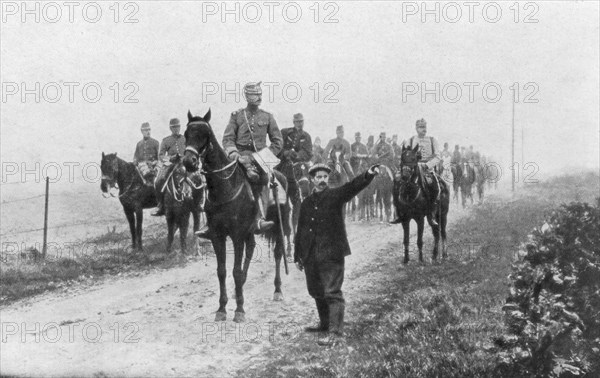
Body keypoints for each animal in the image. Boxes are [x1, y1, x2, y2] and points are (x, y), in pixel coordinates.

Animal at [182, 109, 290, 322]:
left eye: (205, 135)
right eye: (186, 134)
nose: (188, 162)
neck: (225, 187)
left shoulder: (237, 235)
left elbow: (236, 271)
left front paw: (239, 310)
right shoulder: (217, 235)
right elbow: (222, 271)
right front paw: (222, 308)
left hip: (279, 227)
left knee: (277, 253)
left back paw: (278, 291)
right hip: (251, 232)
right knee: (251, 250)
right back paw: (238, 291)